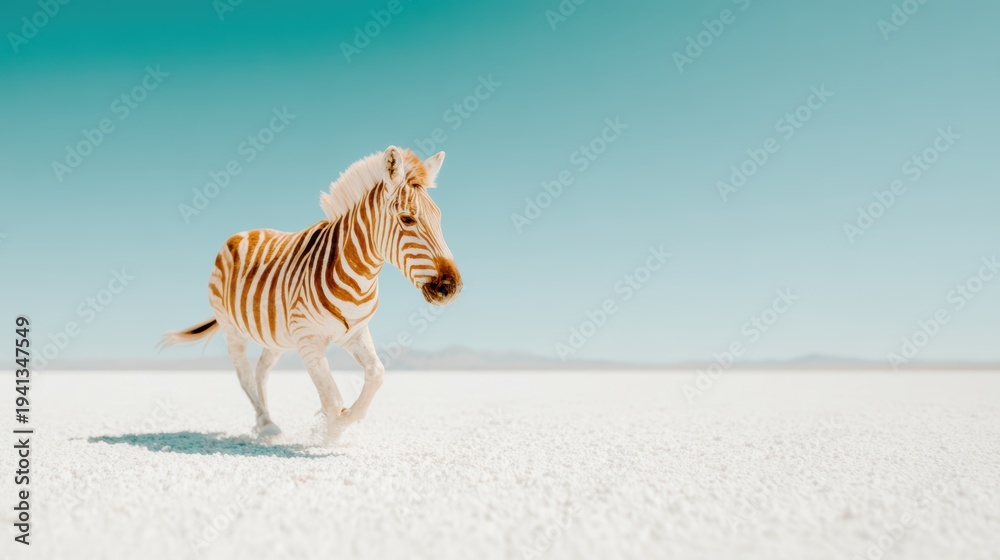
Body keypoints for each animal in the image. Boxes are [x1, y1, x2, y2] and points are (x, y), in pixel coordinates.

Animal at [161, 146, 462, 440]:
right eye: (407, 219)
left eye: (439, 219)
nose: (452, 287)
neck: (358, 276)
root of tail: (243, 232)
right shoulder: (308, 340)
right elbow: (332, 396)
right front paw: (329, 430)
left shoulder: (355, 332)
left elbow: (377, 374)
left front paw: (339, 421)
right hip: (232, 328)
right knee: (244, 374)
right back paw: (267, 425)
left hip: (275, 334)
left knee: (261, 372)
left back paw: (264, 423)